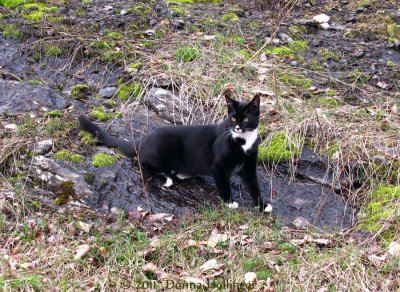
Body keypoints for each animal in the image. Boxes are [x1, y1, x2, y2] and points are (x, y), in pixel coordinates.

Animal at [78, 95, 272, 212]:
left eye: (245, 119)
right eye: (232, 118)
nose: (237, 127)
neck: (243, 142)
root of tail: (143, 139)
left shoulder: (249, 166)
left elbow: (254, 186)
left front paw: (262, 206)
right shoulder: (218, 166)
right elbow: (224, 184)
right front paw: (230, 202)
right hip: (161, 150)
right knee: (143, 162)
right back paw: (166, 178)